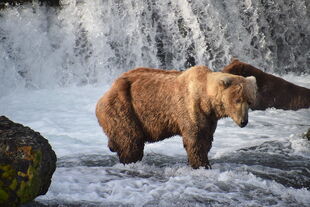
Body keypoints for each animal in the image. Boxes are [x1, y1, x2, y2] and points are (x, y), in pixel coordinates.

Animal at [95, 66, 256, 168]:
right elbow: (195, 139)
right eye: (237, 100)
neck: (206, 100)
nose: (244, 121)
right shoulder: (190, 108)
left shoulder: (209, 118)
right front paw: (202, 164)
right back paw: (130, 161)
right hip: (124, 108)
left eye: (249, 101)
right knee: (130, 140)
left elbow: (206, 139)